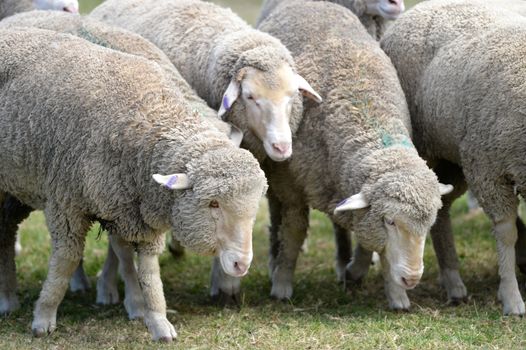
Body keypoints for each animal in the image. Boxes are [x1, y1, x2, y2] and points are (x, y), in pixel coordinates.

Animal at [0, 28, 266, 342]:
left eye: (254, 208)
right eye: (213, 203)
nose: (242, 264)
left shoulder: (133, 211)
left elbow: (149, 273)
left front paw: (158, 321)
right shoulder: (66, 203)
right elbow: (65, 260)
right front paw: (44, 317)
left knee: (5, 231)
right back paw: (8, 299)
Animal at [382, 0, 526, 314]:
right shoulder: (487, 169)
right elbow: (506, 232)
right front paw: (512, 297)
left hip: (451, 161)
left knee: (442, 206)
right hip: (430, 151)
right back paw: (451, 282)